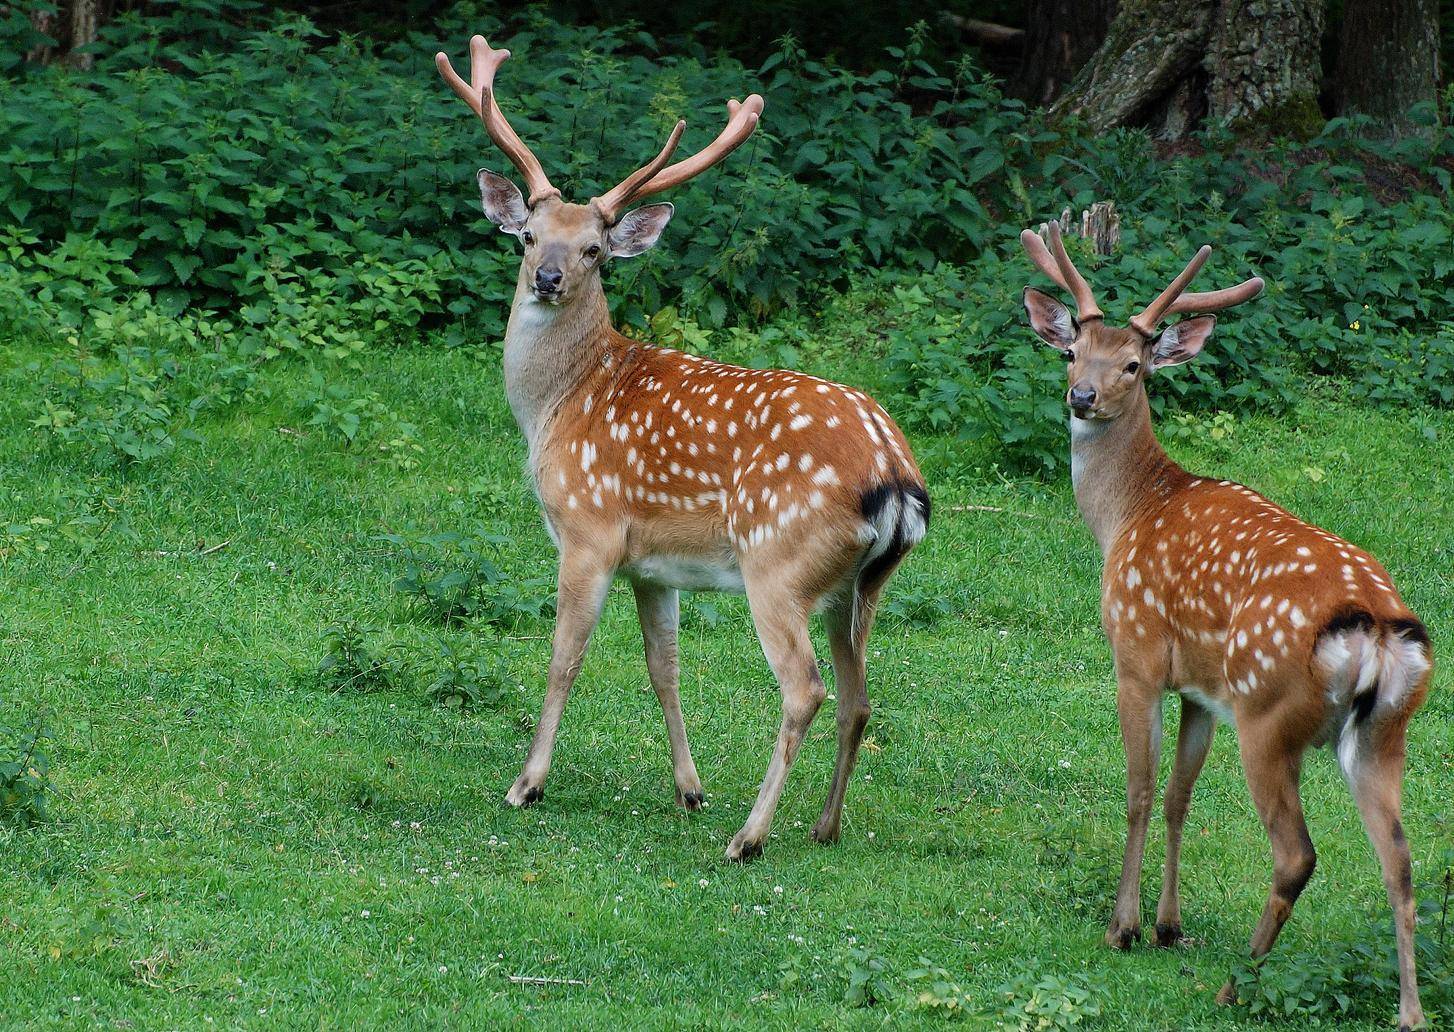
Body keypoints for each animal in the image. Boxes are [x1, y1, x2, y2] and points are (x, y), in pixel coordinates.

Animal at [433, 36, 930, 866]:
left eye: (596, 249)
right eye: (530, 236)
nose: (547, 278)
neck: (558, 404)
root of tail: (898, 479)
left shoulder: (590, 530)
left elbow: (564, 658)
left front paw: (526, 784)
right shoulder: (652, 563)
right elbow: (663, 667)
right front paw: (689, 789)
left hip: (778, 561)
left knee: (806, 688)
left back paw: (750, 837)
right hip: (861, 586)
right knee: (860, 697)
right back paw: (823, 826)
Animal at [1023, 222, 1430, 1029]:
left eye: (1134, 364)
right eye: (1071, 350)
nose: (1083, 396)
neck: (1127, 514)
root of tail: (1374, 627)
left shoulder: (1137, 655)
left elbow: (1139, 790)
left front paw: (1123, 927)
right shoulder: (1201, 692)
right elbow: (1179, 797)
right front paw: (1168, 926)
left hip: (1269, 714)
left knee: (1296, 853)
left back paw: (1236, 985)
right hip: (1382, 728)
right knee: (1399, 860)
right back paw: (1410, 1012)